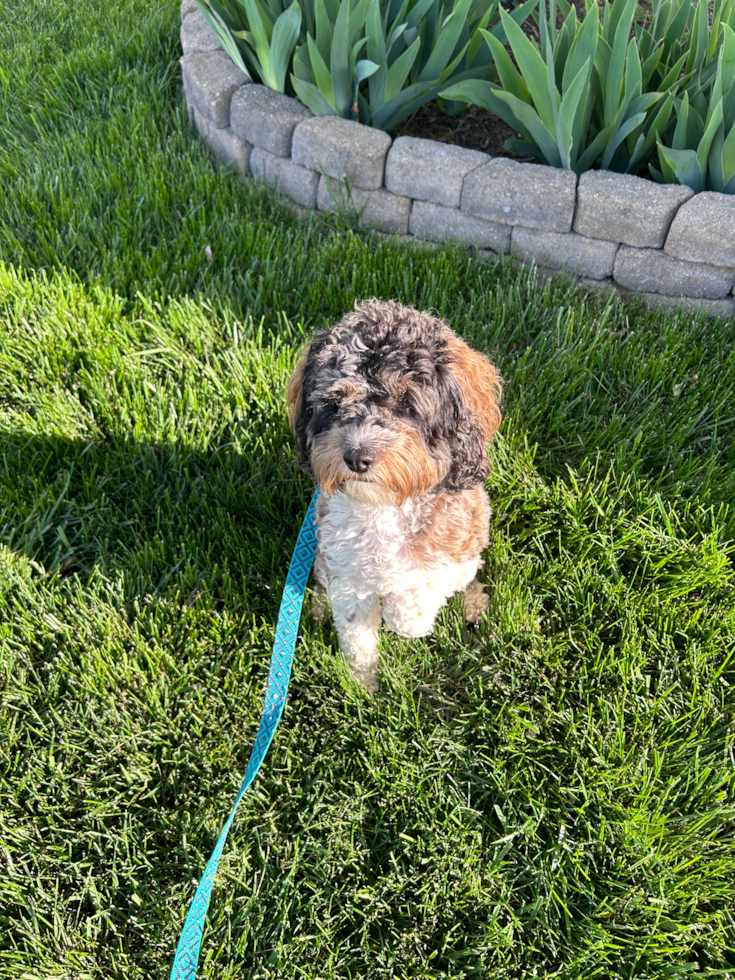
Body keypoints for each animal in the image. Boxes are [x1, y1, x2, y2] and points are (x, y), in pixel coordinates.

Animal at [288, 298, 506, 688]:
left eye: (406, 401)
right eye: (334, 401)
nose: (357, 457)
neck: (385, 506)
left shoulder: (456, 548)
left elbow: (415, 604)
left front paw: (403, 615)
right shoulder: (347, 577)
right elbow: (357, 637)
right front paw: (364, 686)